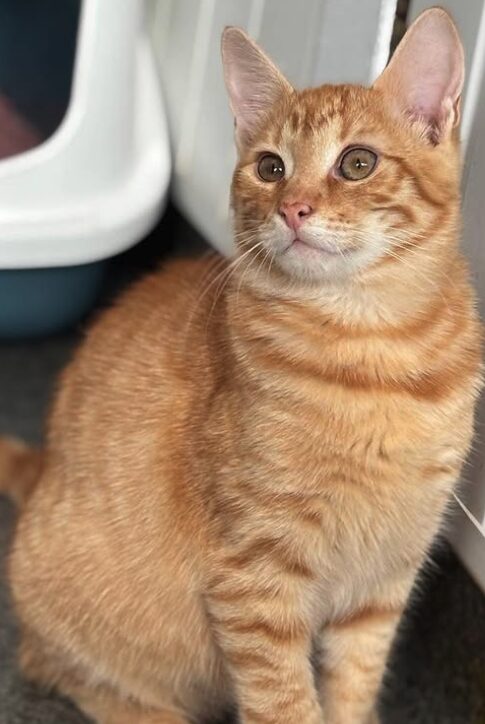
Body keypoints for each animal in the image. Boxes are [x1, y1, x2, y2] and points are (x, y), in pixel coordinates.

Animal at [0, 7, 480, 724]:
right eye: (270, 166)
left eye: (357, 162)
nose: (293, 208)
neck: (375, 352)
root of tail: (44, 471)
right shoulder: (255, 580)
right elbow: (285, 701)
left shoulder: (383, 581)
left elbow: (353, 684)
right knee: (56, 666)